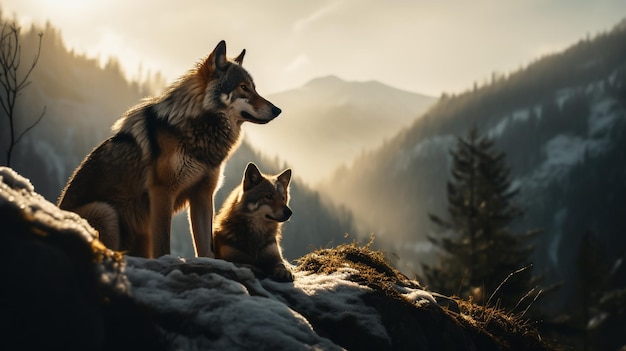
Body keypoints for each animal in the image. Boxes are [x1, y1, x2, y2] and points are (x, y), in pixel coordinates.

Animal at [56, 40, 280, 258]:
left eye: (254, 88)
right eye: (243, 87)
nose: (278, 110)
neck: (199, 132)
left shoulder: (203, 195)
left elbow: (206, 249)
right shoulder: (163, 192)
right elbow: (163, 246)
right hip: (105, 212)